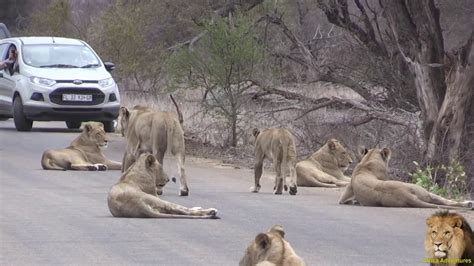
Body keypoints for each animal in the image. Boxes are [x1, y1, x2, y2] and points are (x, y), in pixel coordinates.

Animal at [338, 147, 472, 209]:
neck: (367, 162)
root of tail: (405, 195)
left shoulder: (345, 195)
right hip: (422, 190)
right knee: (446, 200)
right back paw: (469, 203)